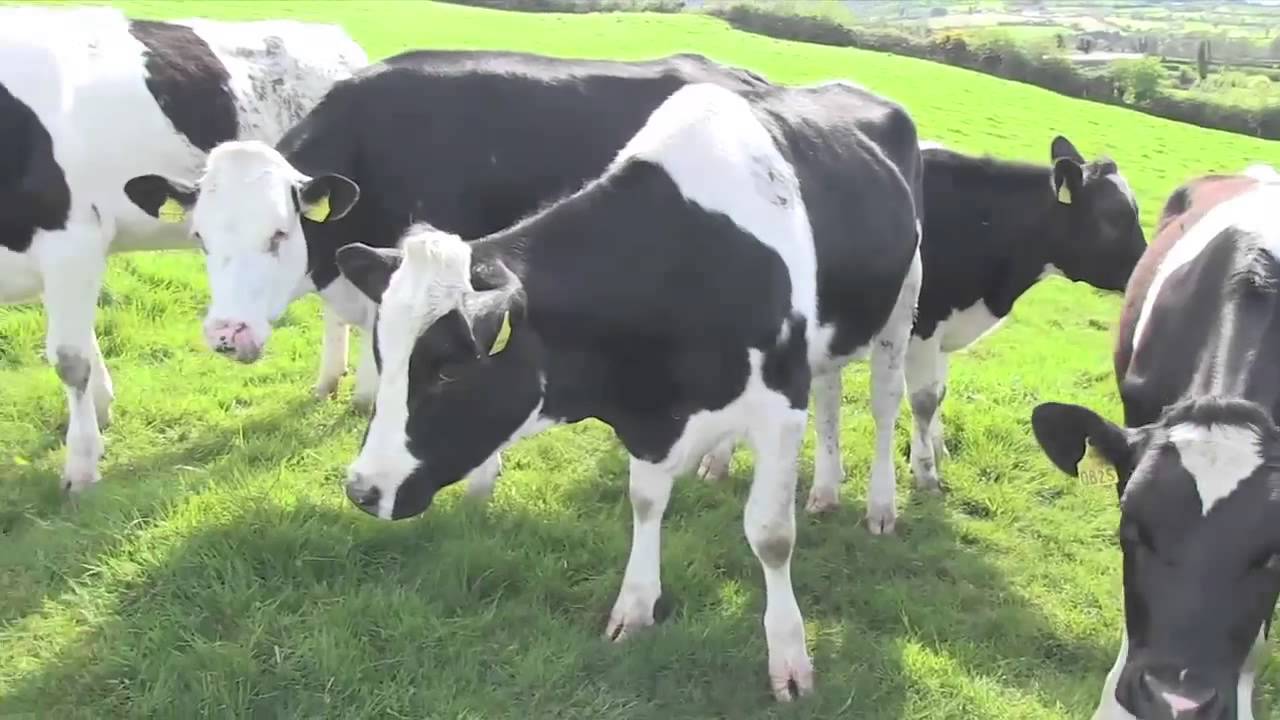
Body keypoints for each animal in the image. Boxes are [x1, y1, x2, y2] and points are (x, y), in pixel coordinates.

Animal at [331, 80, 924, 699]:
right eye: (382, 355)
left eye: (448, 371)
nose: (362, 489)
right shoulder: (651, 414)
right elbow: (644, 501)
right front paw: (635, 607)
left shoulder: (781, 406)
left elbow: (771, 535)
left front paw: (789, 658)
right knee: (830, 393)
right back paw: (808, 486)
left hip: (901, 303)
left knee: (884, 404)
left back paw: (880, 506)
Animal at [697, 136, 1147, 521]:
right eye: (1114, 217)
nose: (1147, 266)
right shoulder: (926, 323)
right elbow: (925, 400)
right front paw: (926, 471)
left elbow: (938, 394)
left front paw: (932, 448)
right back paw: (718, 461)